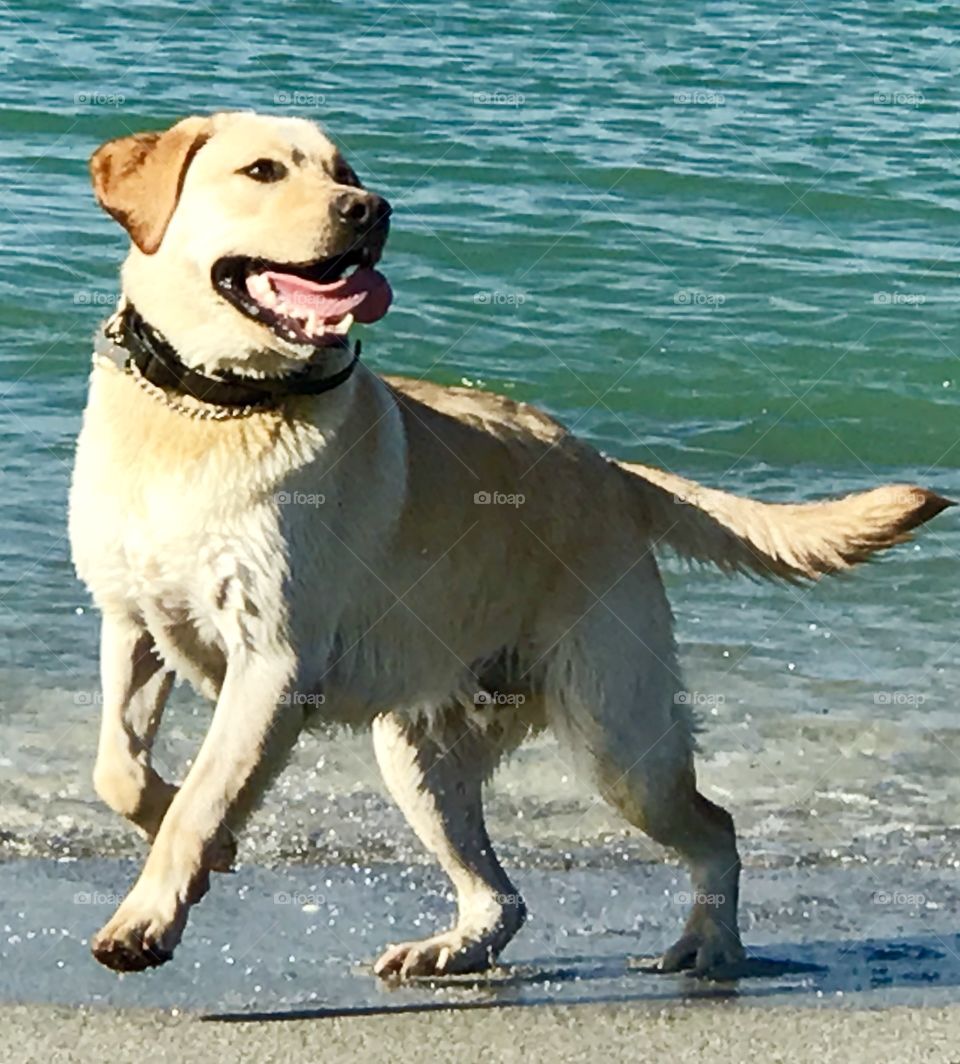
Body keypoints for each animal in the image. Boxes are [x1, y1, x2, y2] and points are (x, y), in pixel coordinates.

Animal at [71, 112, 949, 974]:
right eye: (262, 172)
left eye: (345, 173)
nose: (372, 210)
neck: (211, 409)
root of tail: (612, 470)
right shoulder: (133, 625)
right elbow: (119, 769)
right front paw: (202, 847)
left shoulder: (274, 661)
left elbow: (204, 795)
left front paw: (147, 917)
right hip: (420, 751)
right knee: (503, 893)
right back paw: (454, 946)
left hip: (619, 736)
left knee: (716, 827)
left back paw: (710, 942)